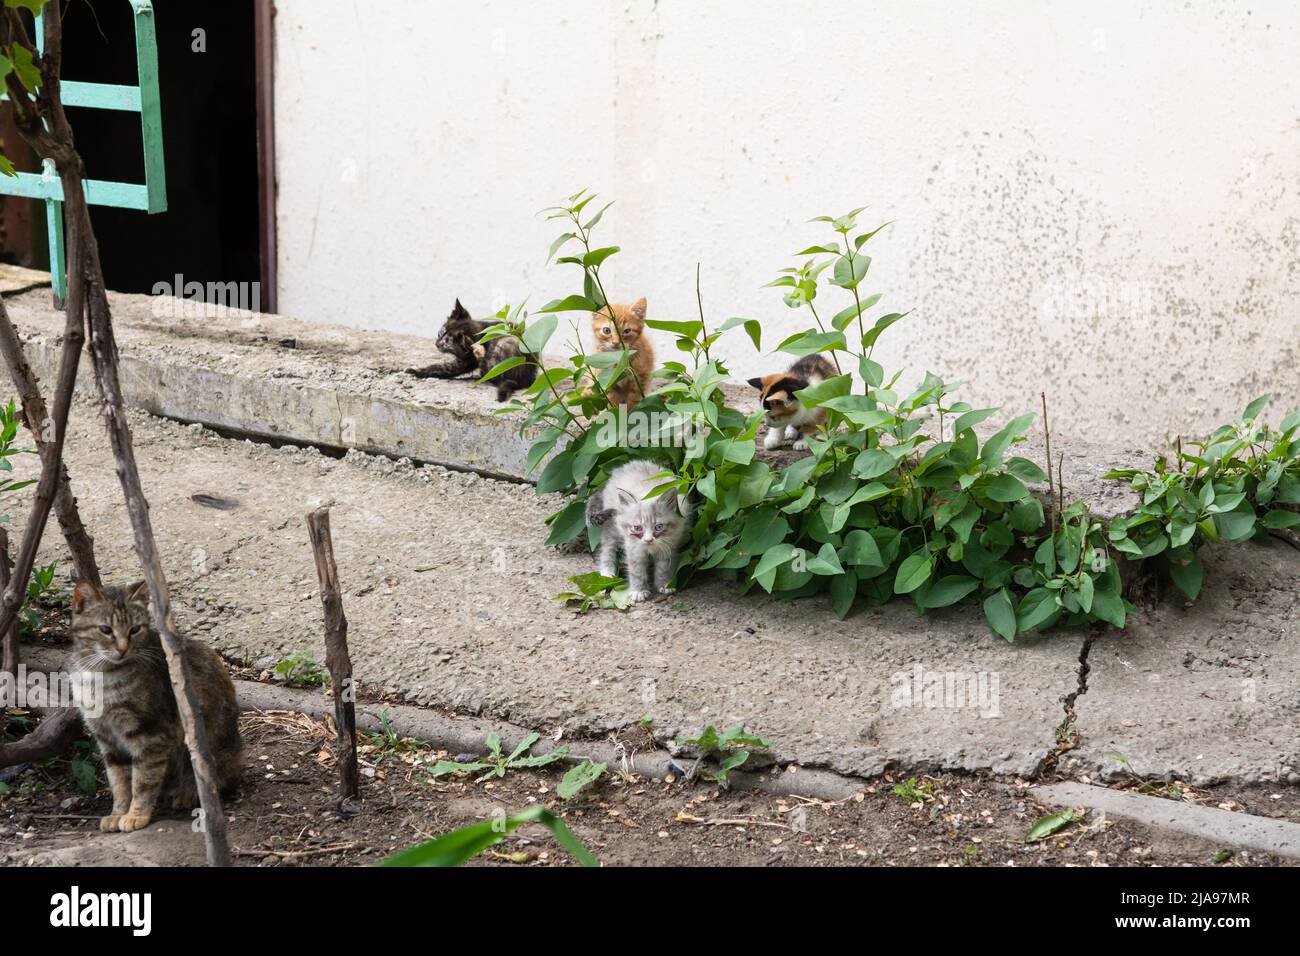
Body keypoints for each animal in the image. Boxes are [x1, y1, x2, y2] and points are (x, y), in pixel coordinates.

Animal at [69, 580, 244, 832]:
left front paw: (135, 815)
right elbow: (119, 781)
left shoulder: (151, 734)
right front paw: (118, 813)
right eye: (105, 629)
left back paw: (187, 794)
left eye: (135, 629)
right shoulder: (107, 738)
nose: (123, 649)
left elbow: (143, 780)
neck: (101, 675)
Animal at [400, 300, 533, 403]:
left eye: (446, 343)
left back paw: (480, 355)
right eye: (440, 333)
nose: (437, 344)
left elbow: (442, 367)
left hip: (504, 346)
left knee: (491, 372)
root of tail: (523, 379)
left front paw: (416, 371)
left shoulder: (467, 361)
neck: (481, 332)